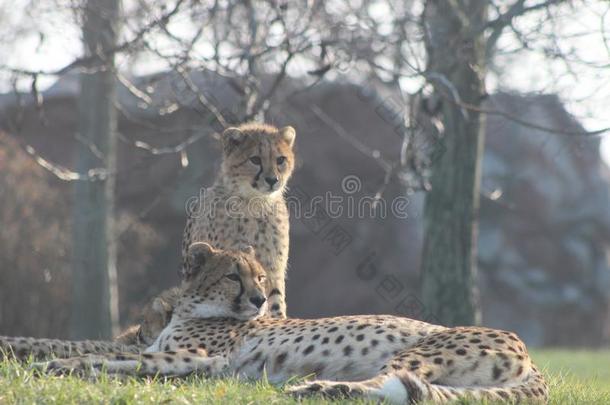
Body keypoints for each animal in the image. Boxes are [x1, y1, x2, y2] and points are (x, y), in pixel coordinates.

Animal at [34, 241, 548, 402]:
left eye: (261, 276)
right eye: (233, 275)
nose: (261, 299)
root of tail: (529, 352)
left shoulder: (202, 360)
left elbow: (124, 362)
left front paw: (59, 366)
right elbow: (129, 359)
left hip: (417, 350)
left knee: (392, 382)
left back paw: (317, 388)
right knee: (401, 392)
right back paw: (324, 389)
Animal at [180, 121, 294, 318]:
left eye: (280, 160)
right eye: (255, 159)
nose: (272, 180)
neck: (256, 203)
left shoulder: (273, 271)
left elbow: (276, 305)